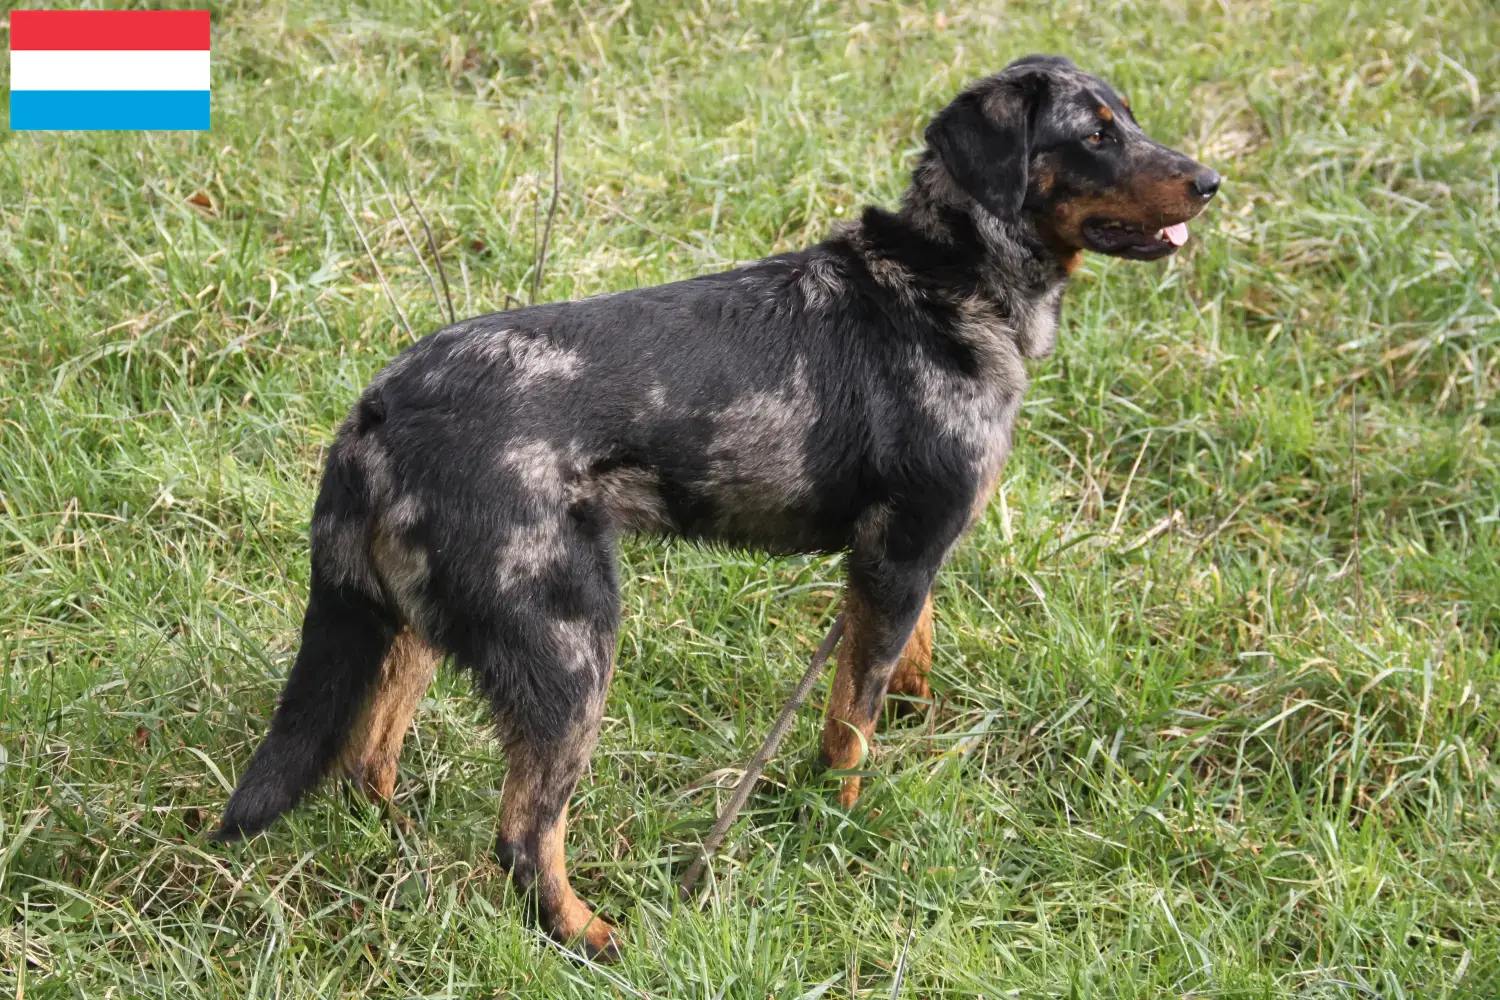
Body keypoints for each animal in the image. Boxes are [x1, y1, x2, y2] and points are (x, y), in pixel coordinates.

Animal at [211, 54, 1218, 959]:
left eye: (1130, 117)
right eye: (1093, 135)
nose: (1212, 182)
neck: (949, 277)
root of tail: (377, 410)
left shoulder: (902, 559)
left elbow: (905, 659)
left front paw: (917, 716)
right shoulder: (899, 552)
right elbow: (849, 726)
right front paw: (838, 826)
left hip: (417, 628)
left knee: (368, 761)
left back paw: (411, 857)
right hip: (572, 647)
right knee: (523, 835)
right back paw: (593, 937)